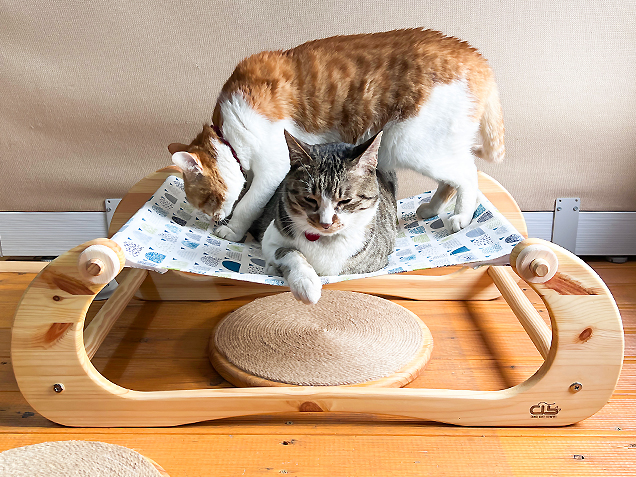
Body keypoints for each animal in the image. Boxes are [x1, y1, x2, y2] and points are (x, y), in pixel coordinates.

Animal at [168, 27, 502, 240]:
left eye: (206, 200)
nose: (212, 219)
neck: (229, 134)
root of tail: (475, 57)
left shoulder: (274, 165)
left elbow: (249, 203)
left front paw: (232, 229)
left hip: (410, 145)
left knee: (467, 173)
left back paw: (461, 217)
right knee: (452, 178)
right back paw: (431, 208)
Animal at [251, 128, 396, 304]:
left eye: (345, 200)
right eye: (310, 199)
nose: (325, 224)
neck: (323, 240)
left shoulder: (369, 265)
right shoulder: (270, 238)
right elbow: (289, 251)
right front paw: (306, 282)